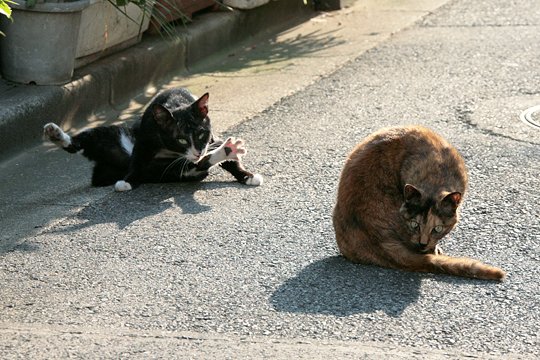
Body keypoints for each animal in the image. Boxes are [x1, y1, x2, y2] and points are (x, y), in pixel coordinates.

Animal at [42, 87, 262, 191]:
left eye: (201, 134)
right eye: (181, 140)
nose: (197, 150)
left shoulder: (210, 140)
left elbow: (228, 162)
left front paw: (246, 175)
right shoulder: (145, 139)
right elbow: (138, 160)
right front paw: (127, 182)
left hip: (170, 171)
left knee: (197, 165)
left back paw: (228, 149)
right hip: (109, 135)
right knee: (79, 143)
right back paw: (54, 133)